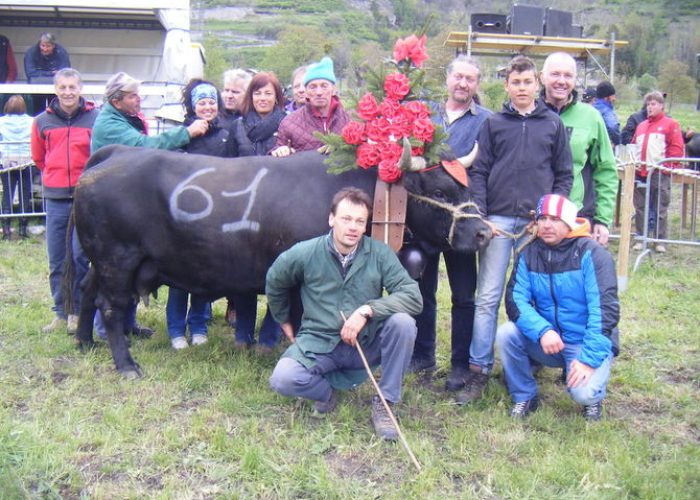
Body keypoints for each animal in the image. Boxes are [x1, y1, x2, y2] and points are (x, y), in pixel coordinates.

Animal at [69, 146, 486, 376]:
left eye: (465, 185)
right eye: (439, 191)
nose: (484, 232)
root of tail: (118, 152)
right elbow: (301, 322)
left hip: (103, 260)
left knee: (87, 290)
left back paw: (85, 342)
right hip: (117, 257)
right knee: (110, 305)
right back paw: (125, 365)